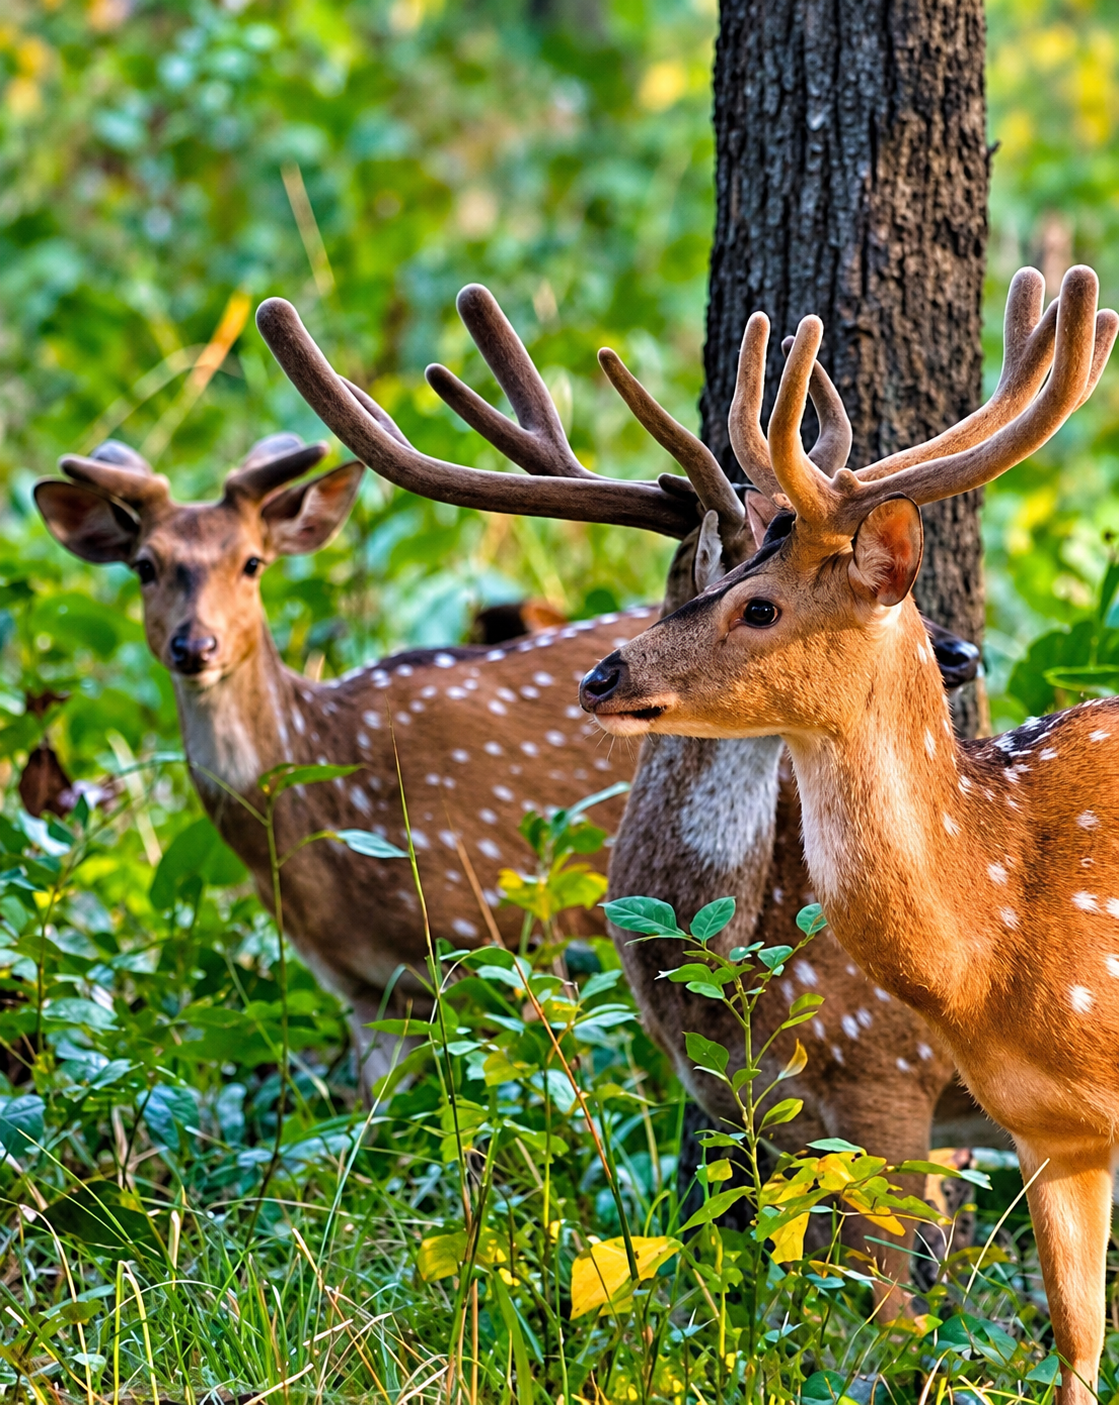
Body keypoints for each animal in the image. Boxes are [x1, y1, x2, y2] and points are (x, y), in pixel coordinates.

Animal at [569, 263, 1119, 1400]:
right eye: (717, 578)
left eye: (761, 607)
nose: (603, 673)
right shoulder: (1048, 1127)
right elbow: (1076, 1348)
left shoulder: (894, 1096)